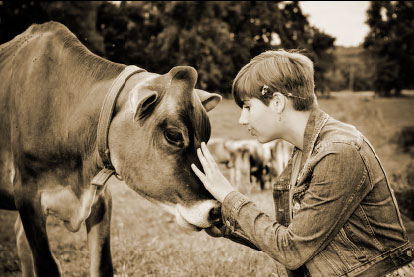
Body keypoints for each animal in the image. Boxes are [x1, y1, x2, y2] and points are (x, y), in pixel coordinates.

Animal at [0, 22, 223, 276]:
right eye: (173, 135)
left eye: (206, 138)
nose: (216, 211)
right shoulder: (27, 195)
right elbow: (47, 265)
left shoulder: (100, 198)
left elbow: (103, 265)